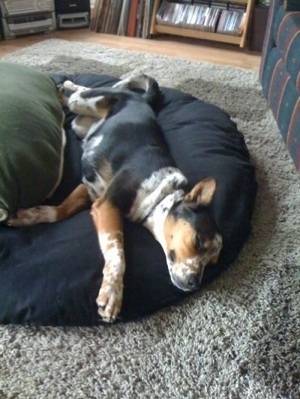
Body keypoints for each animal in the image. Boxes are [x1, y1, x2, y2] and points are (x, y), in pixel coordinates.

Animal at [8, 75, 223, 324]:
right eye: (198, 241)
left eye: (211, 262)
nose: (194, 283)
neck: (161, 193)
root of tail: (141, 100)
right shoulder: (107, 204)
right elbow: (117, 253)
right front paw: (112, 292)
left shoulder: (92, 191)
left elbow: (60, 211)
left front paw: (30, 215)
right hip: (84, 103)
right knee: (87, 92)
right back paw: (67, 86)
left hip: (79, 124)